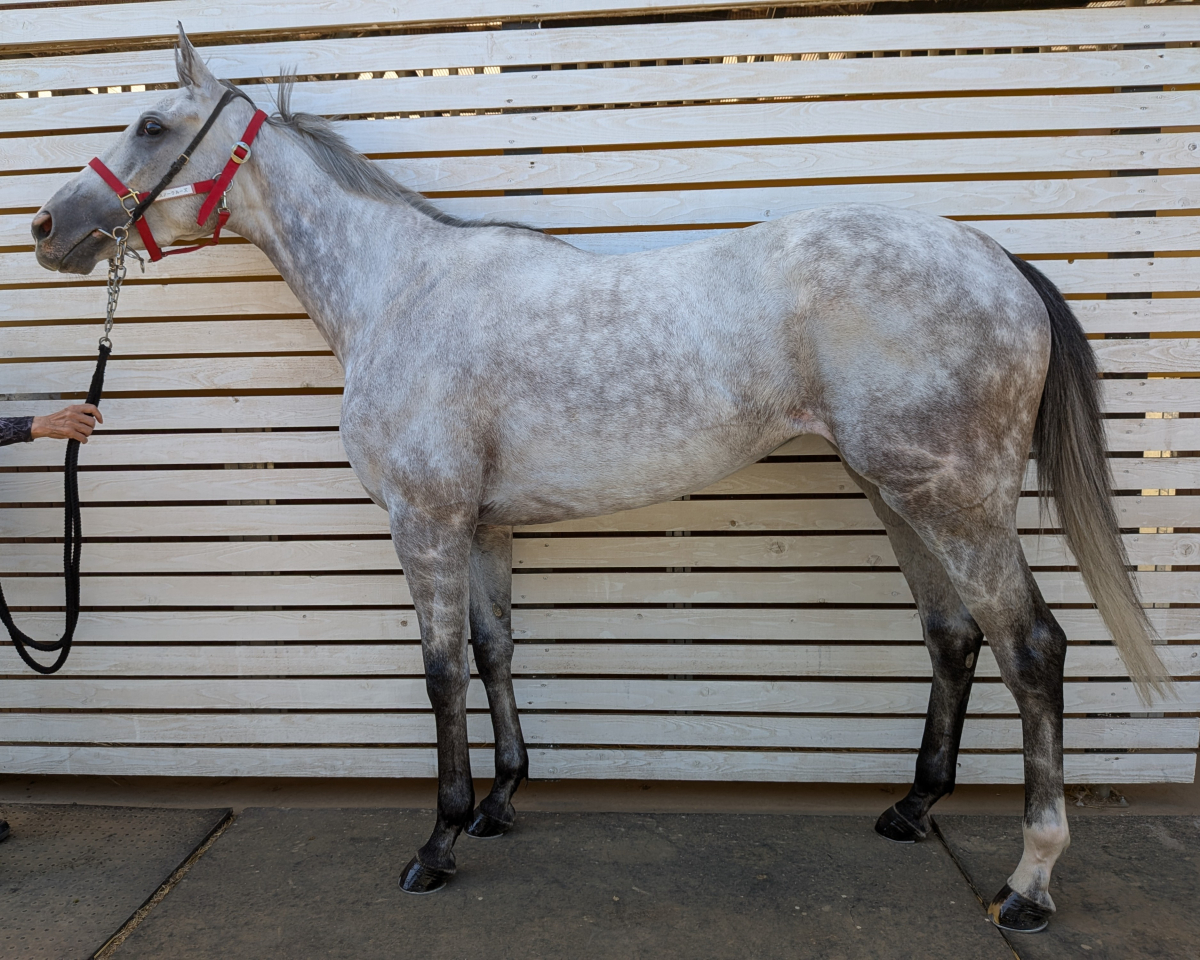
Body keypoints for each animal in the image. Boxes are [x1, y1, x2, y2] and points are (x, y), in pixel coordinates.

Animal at [30, 28, 1170, 932]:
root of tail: (996, 259)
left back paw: (1028, 881)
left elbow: (441, 673)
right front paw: (501, 802)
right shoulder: (484, 526)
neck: (398, 291)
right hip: (898, 494)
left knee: (1032, 648)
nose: (47, 229)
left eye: (147, 123)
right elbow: (495, 652)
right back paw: (911, 809)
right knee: (954, 638)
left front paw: (438, 843)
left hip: (955, 498)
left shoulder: (425, 520)